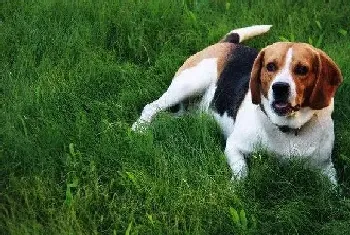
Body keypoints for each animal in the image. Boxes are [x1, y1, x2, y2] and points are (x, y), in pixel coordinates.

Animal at [133, 24, 344, 185]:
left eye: (302, 69)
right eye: (270, 66)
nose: (280, 88)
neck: (288, 129)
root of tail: (225, 44)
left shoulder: (326, 167)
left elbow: (335, 192)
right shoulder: (233, 146)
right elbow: (242, 171)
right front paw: (235, 187)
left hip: (186, 112)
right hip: (189, 84)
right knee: (152, 107)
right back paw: (139, 129)